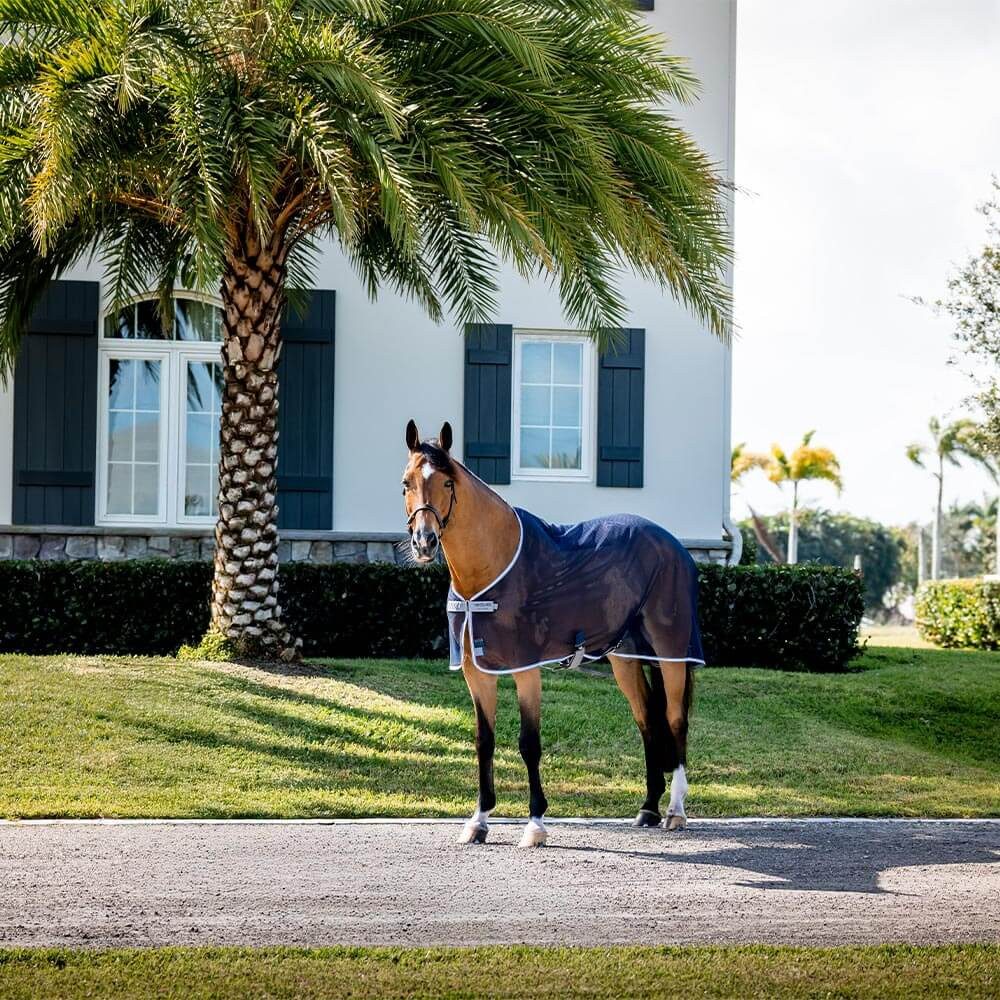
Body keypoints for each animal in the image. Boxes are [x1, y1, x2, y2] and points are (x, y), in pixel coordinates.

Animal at [401, 419, 703, 848]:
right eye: (406, 482)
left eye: (446, 482)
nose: (424, 542)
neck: (493, 566)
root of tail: (672, 544)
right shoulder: (477, 672)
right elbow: (484, 741)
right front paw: (479, 821)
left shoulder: (526, 668)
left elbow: (529, 743)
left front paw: (535, 825)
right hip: (625, 658)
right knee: (646, 720)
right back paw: (648, 808)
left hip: (671, 651)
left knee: (675, 720)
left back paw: (675, 811)